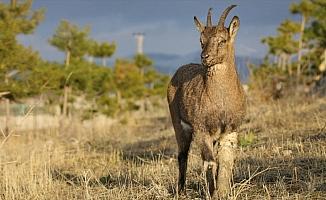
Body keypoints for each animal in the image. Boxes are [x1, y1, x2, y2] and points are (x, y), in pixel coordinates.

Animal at [167, 4, 246, 198]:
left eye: (222, 40)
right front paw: (212, 193)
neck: (221, 100)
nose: (205, 57)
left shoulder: (230, 130)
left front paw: (223, 192)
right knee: (182, 154)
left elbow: (225, 161)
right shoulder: (202, 130)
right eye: (201, 40)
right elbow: (209, 162)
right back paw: (181, 190)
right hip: (179, 124)